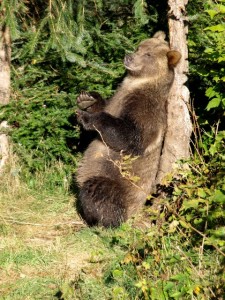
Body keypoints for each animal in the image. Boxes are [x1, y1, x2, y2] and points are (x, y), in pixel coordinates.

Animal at [75, 31, 181, 227]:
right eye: (139, 46)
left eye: (148, 55)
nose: (129, 56)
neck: (137, 83)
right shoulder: (118, 99)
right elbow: (104, 104)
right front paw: (87, 98)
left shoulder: (146, 108)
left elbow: (132, 136)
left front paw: (86, 117)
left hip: (121, 186)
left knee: (99, 191)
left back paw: (99, 220)